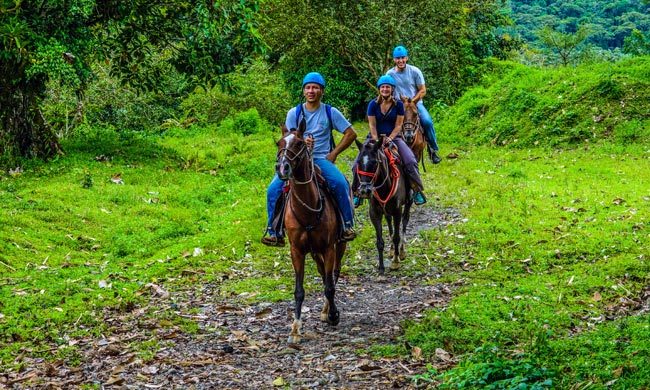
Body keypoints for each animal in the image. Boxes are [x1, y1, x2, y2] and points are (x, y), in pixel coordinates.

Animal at [274, 122, 344, 344]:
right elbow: (299, 291)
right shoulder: (297, 251)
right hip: (314, 251)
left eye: (299, 143)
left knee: (333, 274)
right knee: (323, 273)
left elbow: (330, 286)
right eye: (278, 143)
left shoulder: (329, 247)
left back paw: (328, 310)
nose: (282, 168)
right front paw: (295, 329)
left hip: (340, 244)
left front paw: (334, 315)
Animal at [354, 137, 410, 274]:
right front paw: (381, 267)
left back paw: (401, 251)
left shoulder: (397, 211)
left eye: (375, 163)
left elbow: (396, 237)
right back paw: (391, 250)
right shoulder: (374, 213)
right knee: (389, 222)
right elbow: (379, 241)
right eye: (358, 162)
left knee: (405, 222)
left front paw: (395, 262)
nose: (364, 191)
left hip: (408, 202)